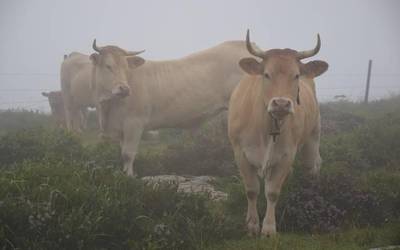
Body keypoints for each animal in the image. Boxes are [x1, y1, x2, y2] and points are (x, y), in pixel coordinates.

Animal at [90, 39, 256, 176]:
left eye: (126, 68)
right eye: (108, 66)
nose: (124, 89)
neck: (108, 107)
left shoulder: (134, 123)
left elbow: (128, 154)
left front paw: (129, 178)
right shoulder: (121, 128)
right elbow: (122, 153)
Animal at [228, 30, 328, 235]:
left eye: (296, 75)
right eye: (266, 74)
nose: (281, 104)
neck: (265, 127)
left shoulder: (286, 155)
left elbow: (272, 192)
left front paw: (268, 228)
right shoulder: (240, 153)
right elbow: (252, 190)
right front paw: (252, 225)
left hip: (313, 137)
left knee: (312, 166)